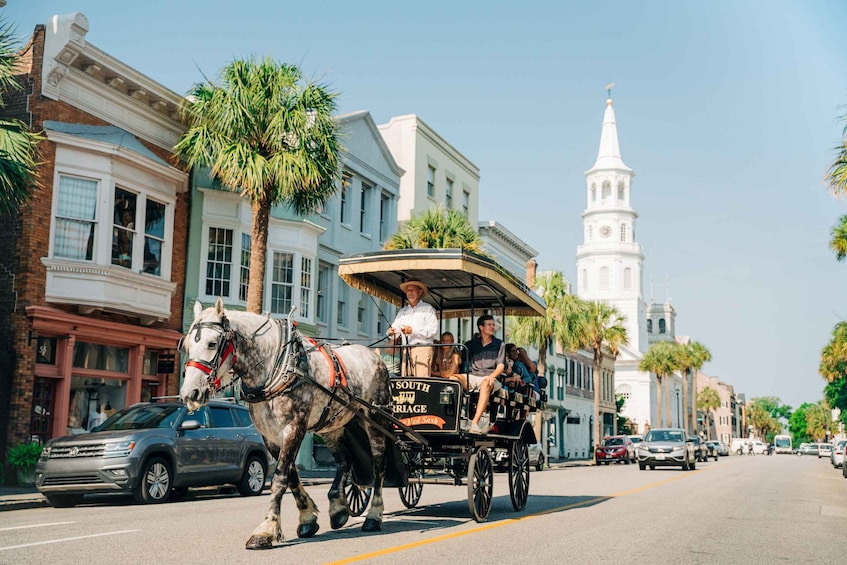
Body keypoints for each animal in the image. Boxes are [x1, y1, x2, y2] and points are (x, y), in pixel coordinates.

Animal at [181, 298, 392, 548]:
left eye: (212, 343)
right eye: (186, 346)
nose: (190, 393)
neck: (277, 366)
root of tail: (374, 355)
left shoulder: (294, 427)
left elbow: (280, 477)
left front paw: (266, 529)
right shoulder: (270, 435)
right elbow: (291, 476)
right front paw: (307, 518)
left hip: (376, 419)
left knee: (378, 467)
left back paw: (374, 515)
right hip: (332, 425)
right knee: (345, 461)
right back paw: (338, 508)